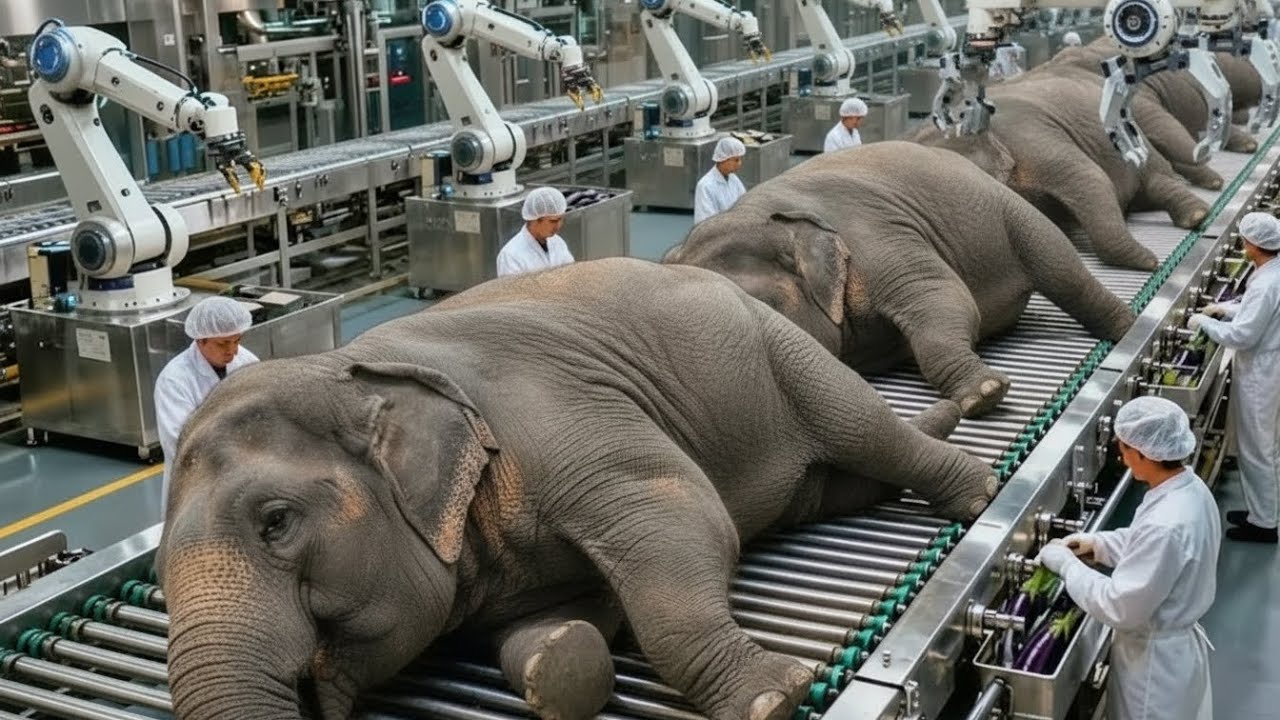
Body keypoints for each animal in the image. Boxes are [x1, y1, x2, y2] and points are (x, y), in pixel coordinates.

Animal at [156, 257, 999, 720]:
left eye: (276, 521)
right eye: (159, 576)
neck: (345, 371)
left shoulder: (557, 415)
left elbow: (685, 517)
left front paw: (774, 696)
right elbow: (555, 623)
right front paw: (561, 661)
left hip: (779, 348)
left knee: (863, 426)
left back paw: (980, 492)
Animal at [661, 142, 1136, 418]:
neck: (765, 216)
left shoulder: (879, 236)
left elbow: (947, 299)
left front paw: (986, 394)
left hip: (1009, 211)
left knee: (1061, 267)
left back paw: (1128, 328)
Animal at [904, 71, 1211, 271]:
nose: (1154, 262)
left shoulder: (1032, 137)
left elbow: (1090, 176)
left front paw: (1148, 261)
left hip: (1135, 139)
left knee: (1157, 177)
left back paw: (1197, 215)